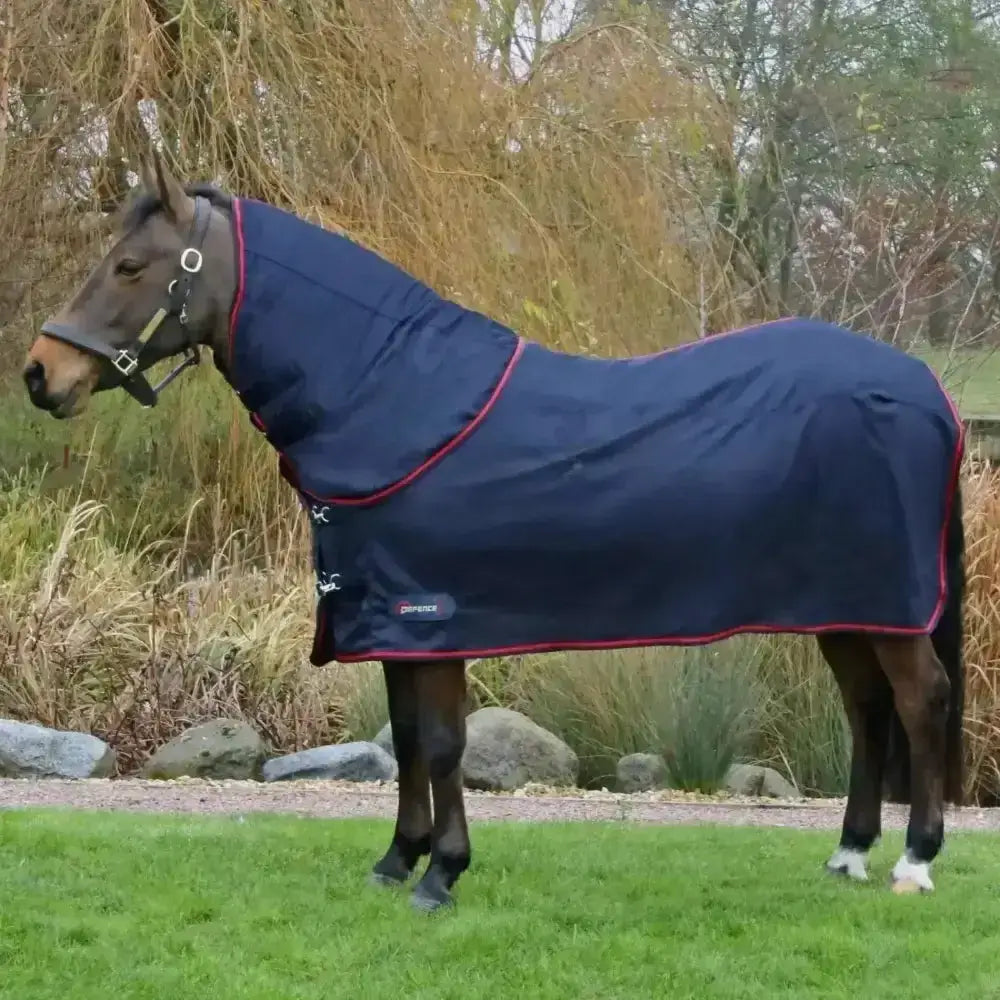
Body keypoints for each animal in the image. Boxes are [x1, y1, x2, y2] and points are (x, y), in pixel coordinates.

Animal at [24, 148, 966, 912]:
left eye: (130, 265)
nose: (42, 374)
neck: (396, 395)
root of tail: (927, 388)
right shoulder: (390, 620)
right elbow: (407, 741)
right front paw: (396, 861)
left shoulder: (434, 619)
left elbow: (443, 744)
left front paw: (442, 873)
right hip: (846, 605)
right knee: (867, 709)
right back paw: (848, 855)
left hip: (886, 605)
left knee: (920, 700)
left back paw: (914, 863)